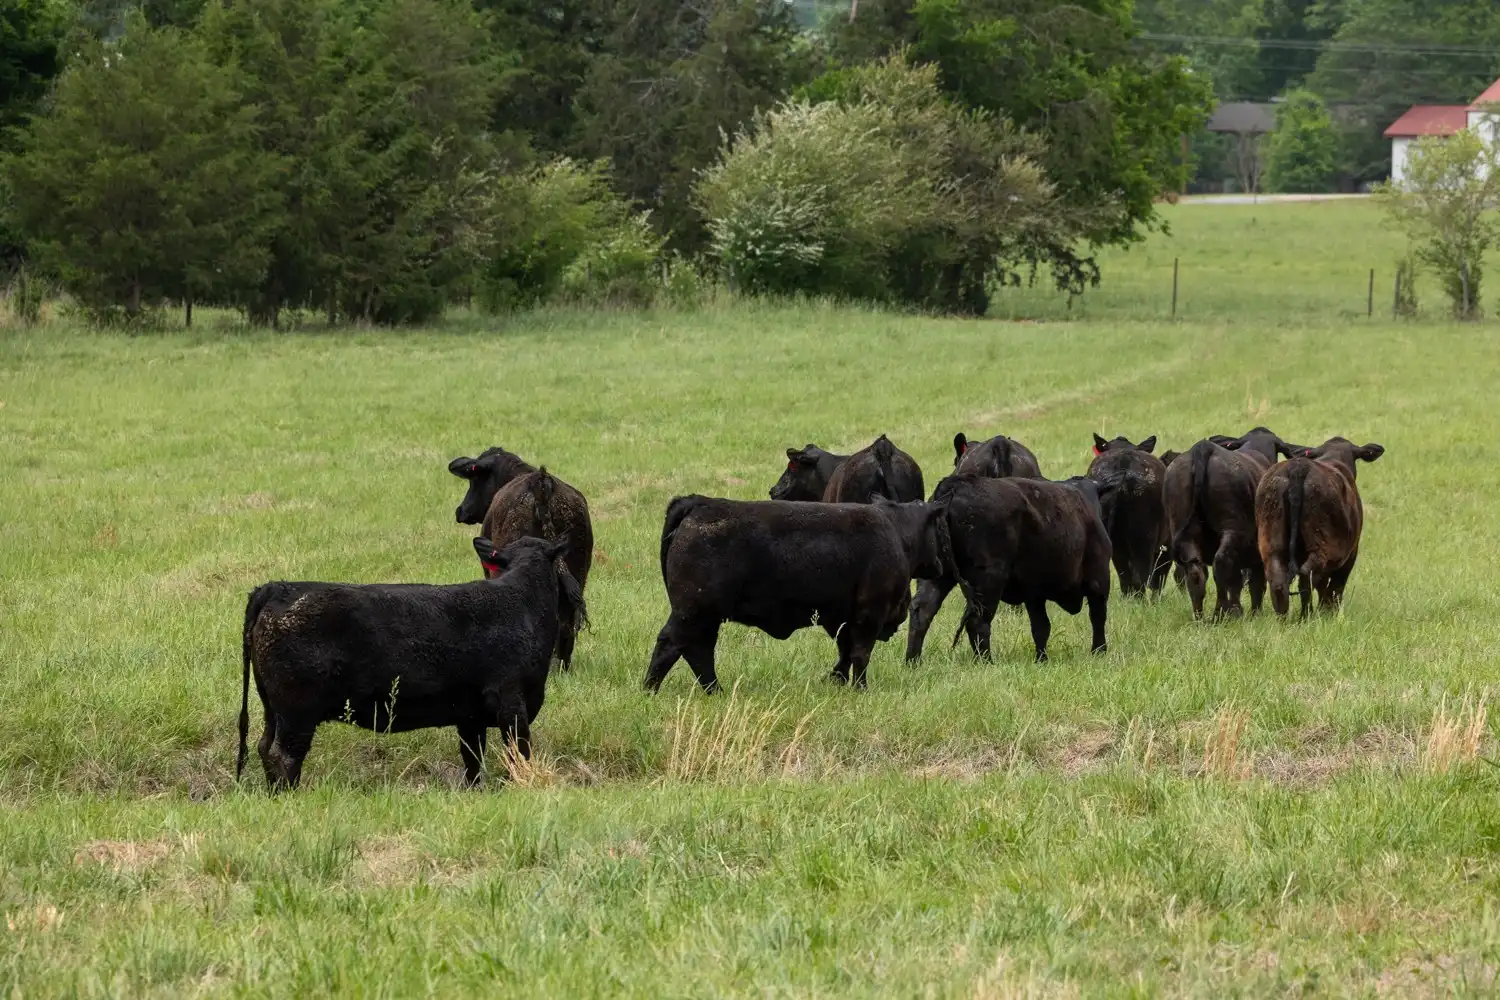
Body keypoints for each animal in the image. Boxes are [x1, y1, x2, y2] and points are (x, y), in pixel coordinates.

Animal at [237, 534, 584, 791]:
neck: (522, 604)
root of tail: (280, 587)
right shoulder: (512, 701)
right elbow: (520, 752)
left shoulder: (469, 715)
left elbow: (473, 761)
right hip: (297, 712)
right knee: (283, 756)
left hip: (273, 708)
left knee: (264, 747)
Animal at [644, 495, 954, 692]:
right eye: (940, 528)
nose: (943, 564)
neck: (896, 532)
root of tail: (699, 502)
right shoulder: (869, 615)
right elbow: (860, 653)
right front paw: (860, 688)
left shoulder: (841, 618)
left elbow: (845, 651)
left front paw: (836, 680)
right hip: (694, 612)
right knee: (673, 645)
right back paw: (651, 690)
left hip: (705, 616)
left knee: (698, 651)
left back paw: (714, 691)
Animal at [906, 474, 1114, 663]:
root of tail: (956, 485)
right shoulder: (1099, 580)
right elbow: (1098, 617)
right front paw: (1099, 651)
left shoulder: (1034, 593)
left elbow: (1041, 627)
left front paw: (1041, 659)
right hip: (988, 579)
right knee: (978, 621)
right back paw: (986, 662)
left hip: (937, 575)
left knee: (922, 611)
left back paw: (913, 661)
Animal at [1255, 437, 1385, 617]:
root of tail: (1298, 468)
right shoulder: (1350, 553)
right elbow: (1335, 585)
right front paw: (1329, 610)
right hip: (1322, 544)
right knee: (1307, 575)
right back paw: (1307, 614)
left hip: (1271, 540)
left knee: (1278, 579)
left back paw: (1284, 618)